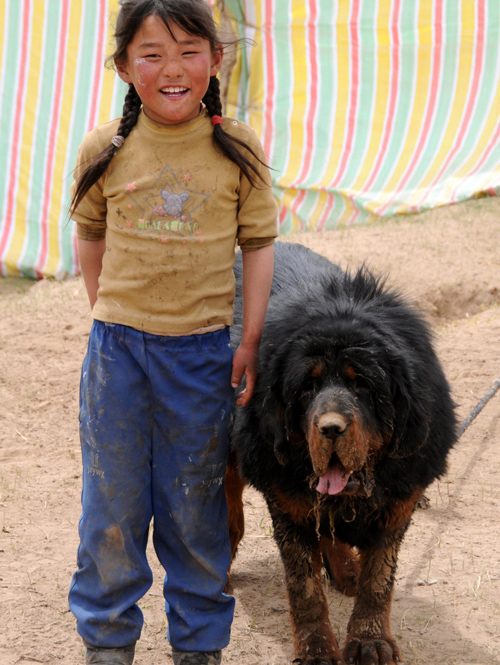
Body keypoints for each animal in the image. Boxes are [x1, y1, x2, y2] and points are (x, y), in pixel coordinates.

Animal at [228, 241, 458, 664]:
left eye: (362, 385)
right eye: (306, 387)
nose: (330, 428)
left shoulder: (400, 501)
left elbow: (378, 579)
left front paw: (370, 639)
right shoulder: (286, 500)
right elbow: (303, 586)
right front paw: (317, 647)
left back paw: (345, 571)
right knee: (228, 513)